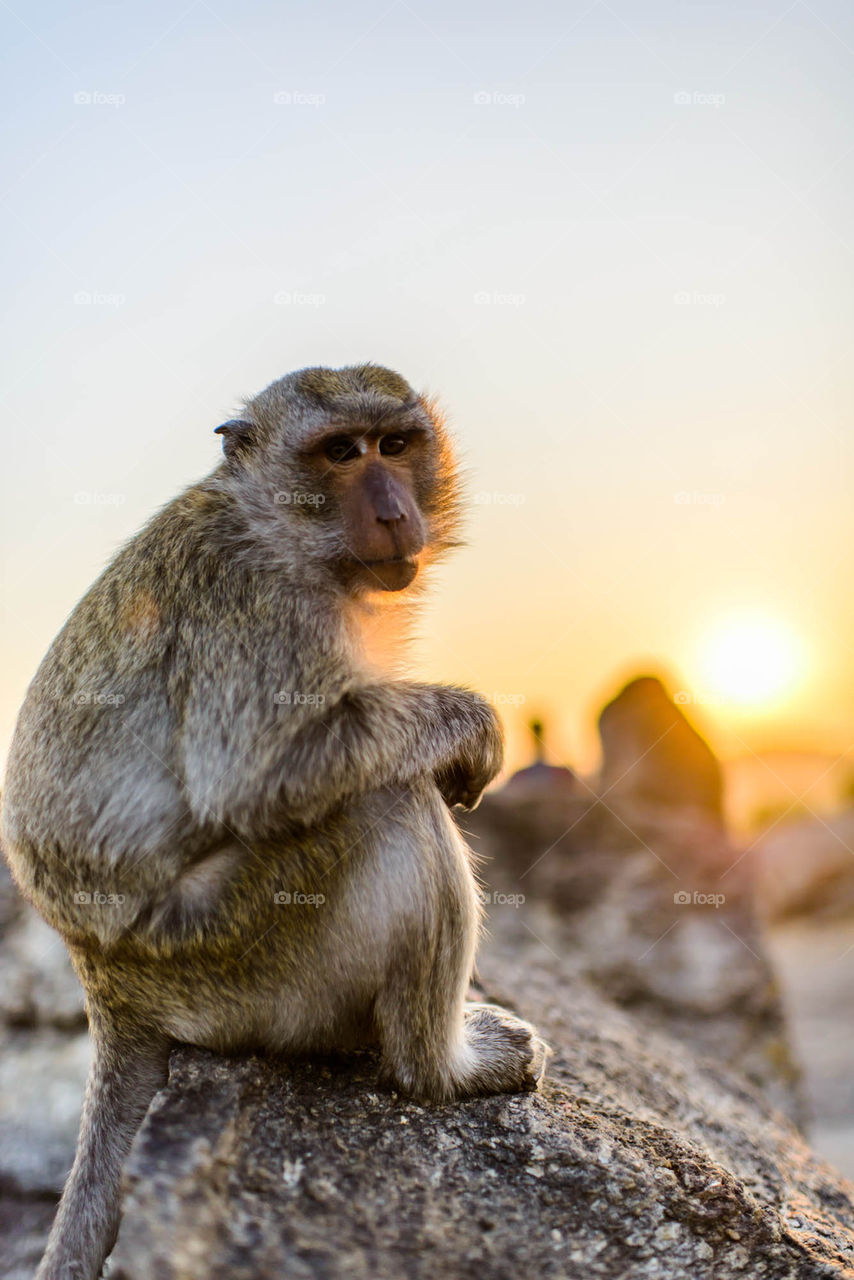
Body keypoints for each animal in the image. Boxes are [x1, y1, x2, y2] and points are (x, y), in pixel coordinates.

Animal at [1, 364, 549, 1280]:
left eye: (394, 444)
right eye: (340, 454)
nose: (394, 511)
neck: (279, 526)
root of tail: (102, 979)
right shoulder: (260, 606)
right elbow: (255, 773)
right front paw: (468, 721)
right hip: (234, 957)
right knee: (385, 801)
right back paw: (439, 1069)